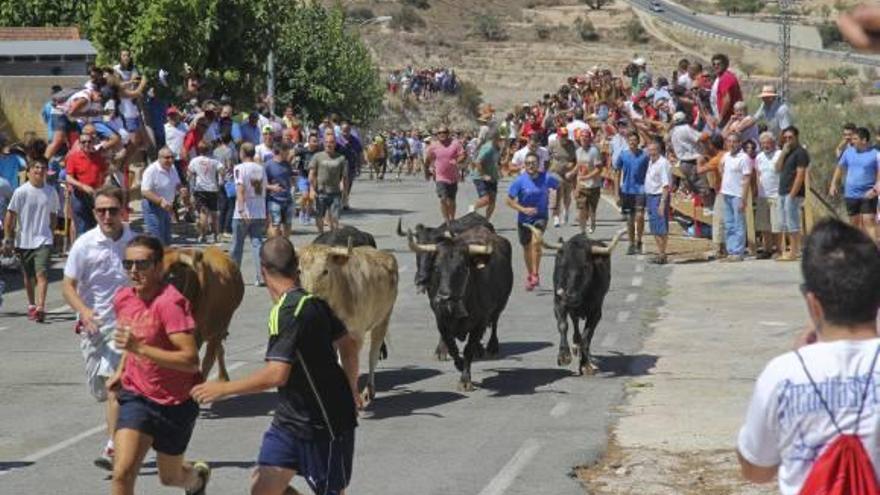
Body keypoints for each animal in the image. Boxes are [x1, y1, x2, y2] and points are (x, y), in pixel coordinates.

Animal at [300, 242, 400, 404]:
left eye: (325, 271)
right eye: (299, 270)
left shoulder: (356, 335)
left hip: (383, 319)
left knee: (373, 355)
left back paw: (369, 390)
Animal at [404, 225, 512, 392]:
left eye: (462, 268)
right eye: (437, 268)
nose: (443, 298)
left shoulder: (479, 322)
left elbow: (468, 350)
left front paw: (465, 380)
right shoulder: (441, 321)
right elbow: (452, 347)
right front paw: (458, 363)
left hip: (501, 304)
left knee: (494, 322)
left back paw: (492, 346)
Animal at [524, 228, 628, 376]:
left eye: (585, 266)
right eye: (563, 265)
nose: (570, 296)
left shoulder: (596, 312)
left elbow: (587, 336)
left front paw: (586, 365)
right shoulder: (559, 303)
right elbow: (563, 325)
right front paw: (564, 356)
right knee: (575, 322)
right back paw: (575, 345)